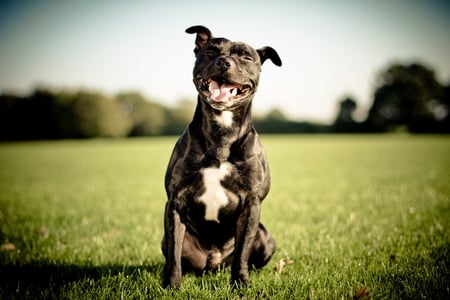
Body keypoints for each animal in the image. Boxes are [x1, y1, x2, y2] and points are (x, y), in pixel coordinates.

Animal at [162, 25, 282, 288]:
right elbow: (174, 253)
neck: (222, 134)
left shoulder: (251, 204)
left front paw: (240, 282)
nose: (223, 62)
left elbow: (242, 252)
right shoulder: (175, 203)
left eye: (246, 57)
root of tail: (213, 262)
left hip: (265, 237)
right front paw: (171, 285)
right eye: (210, 51)